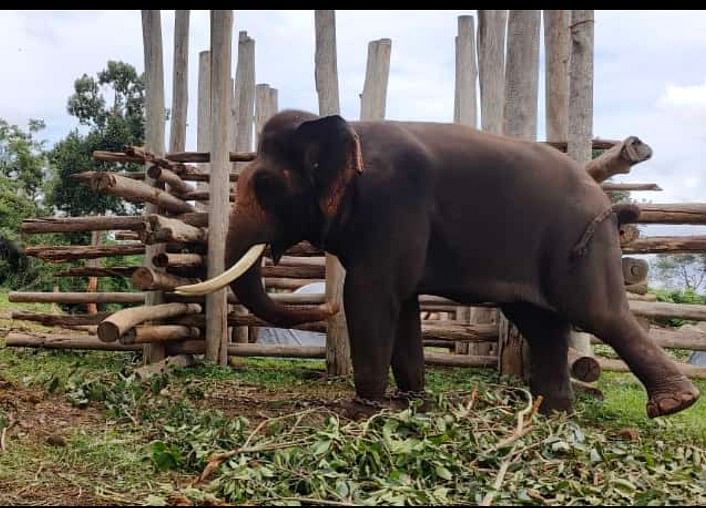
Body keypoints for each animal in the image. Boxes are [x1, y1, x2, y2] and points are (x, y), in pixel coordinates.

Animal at [173, 109, 696, 418]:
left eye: (265, 185)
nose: (321, 306)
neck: (349, 129)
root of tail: (603, 195)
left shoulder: (390, 204)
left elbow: (369, 294)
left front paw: (362, 410)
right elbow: (401, 302)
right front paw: (411, 400)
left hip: (579, 245)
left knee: (599, 315)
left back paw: (673, 404)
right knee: (542, 324)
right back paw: (552, 413)